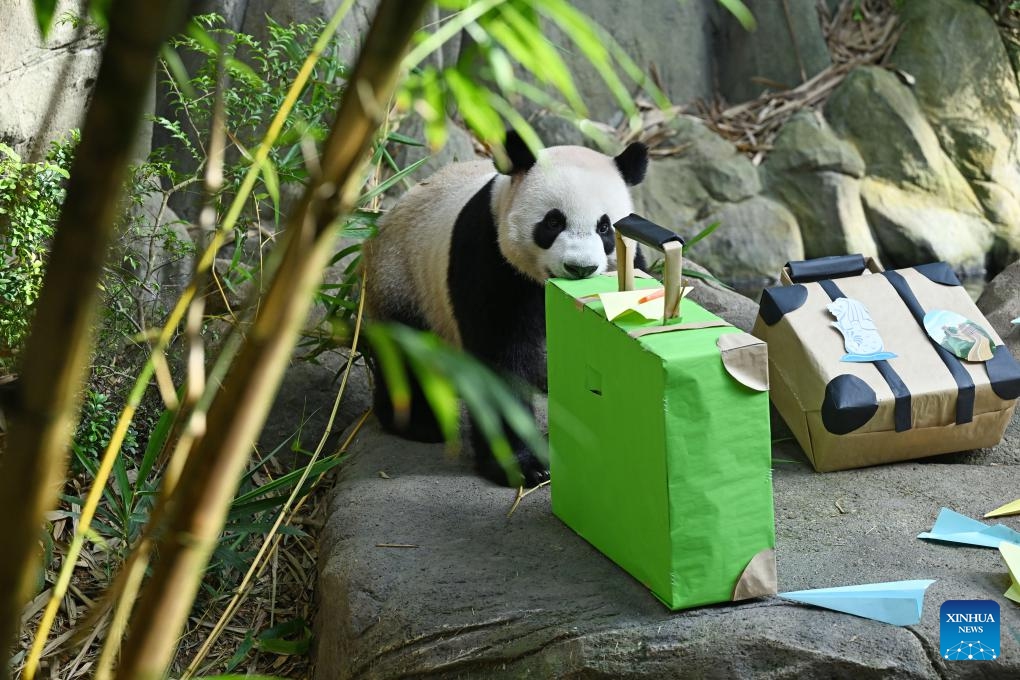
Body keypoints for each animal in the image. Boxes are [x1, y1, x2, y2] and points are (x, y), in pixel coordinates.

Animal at [362, 130, 648, 486]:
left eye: (605, 227)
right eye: (553, 222)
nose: (580, 268)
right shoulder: (491, 259)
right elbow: (502, 360)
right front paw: (525, 466)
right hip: (403, 279)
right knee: (407, 354)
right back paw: (418, 423)